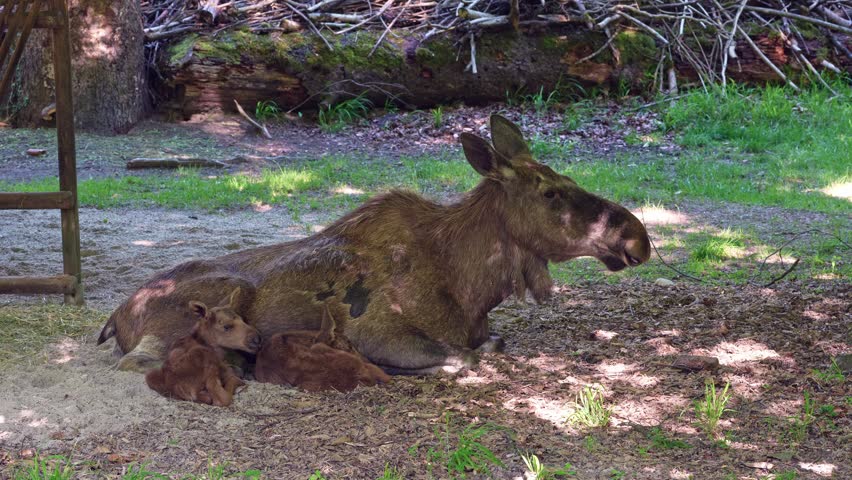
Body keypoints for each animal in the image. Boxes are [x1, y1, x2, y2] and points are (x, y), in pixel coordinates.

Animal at [99, 115, 651, 375]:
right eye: (551, 192)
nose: (638, 237)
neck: (475, 286)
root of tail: (115, 316)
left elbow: (490, 343)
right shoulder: (379, 330)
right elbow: (467, 357)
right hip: (208, 302)